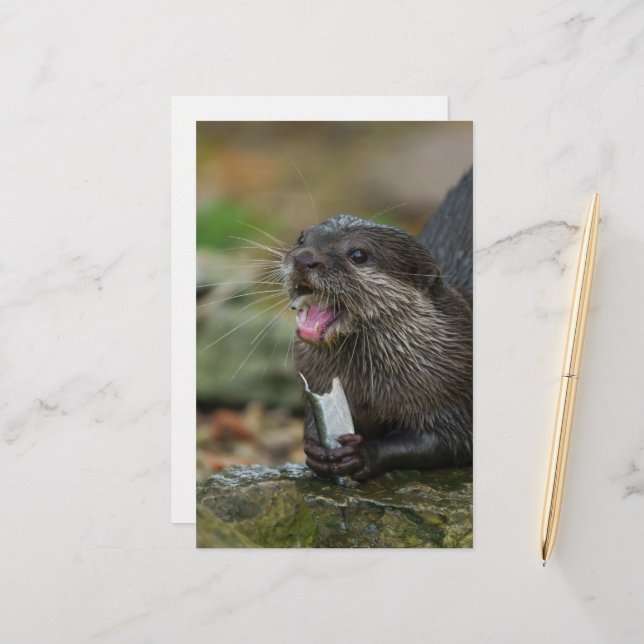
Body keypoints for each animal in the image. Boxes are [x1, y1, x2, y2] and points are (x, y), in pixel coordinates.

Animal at [282, 169, 473, 482]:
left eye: (358, 254)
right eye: (301, 238)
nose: (304, 258)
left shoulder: (452, 394)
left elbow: (446, 441)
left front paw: (361, 454)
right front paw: (314, 448)